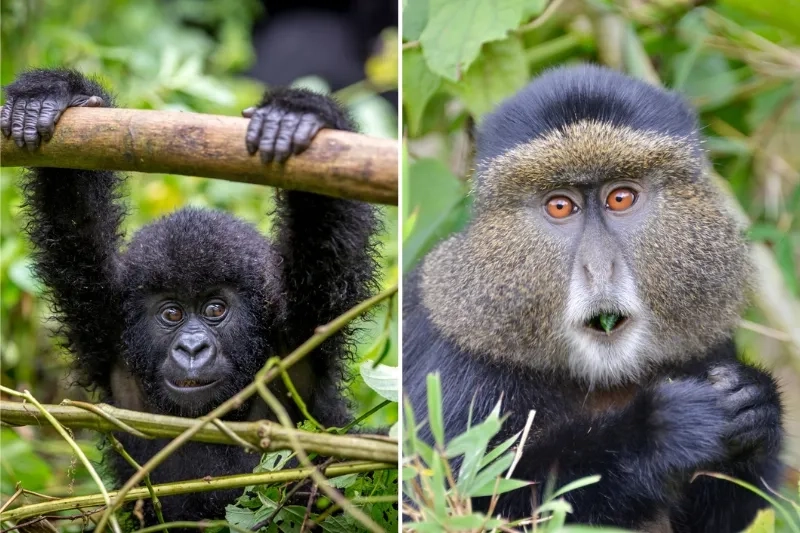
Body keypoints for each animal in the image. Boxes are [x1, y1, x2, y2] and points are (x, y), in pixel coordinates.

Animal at [2, 67, 380, 524]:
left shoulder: (303, 331)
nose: (193, 348)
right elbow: (74, 219)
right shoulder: (104, 325)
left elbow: (326, 231)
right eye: (171, 314)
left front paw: (299, 115)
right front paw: (50, 96)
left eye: (215, 308)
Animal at [402, 64, 784, 532]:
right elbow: (459, 501)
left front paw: (756, 403)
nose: (599, 268)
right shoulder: (453, 374)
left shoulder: (709, 346)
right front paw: (659, 431)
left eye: (620, 198)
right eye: (560, 206)